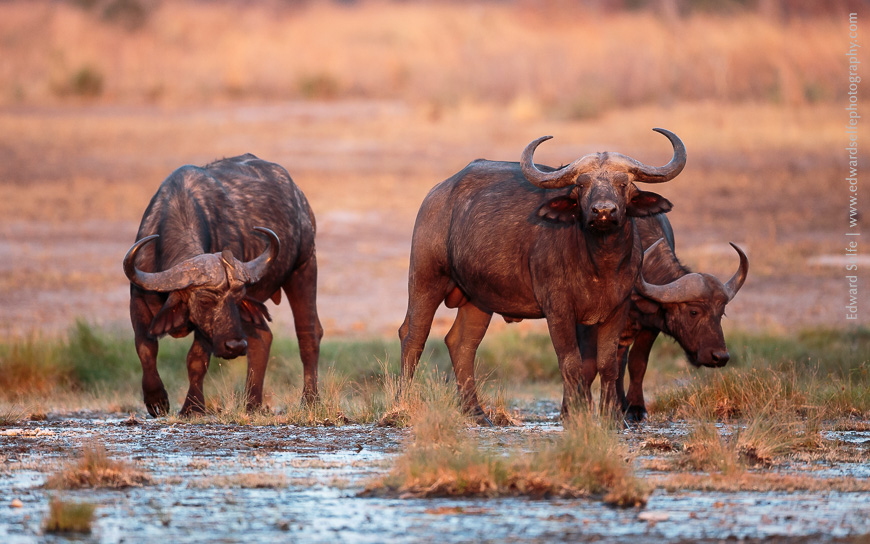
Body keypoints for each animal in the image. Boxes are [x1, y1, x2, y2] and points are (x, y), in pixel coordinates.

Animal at [123, 154, 322, 417]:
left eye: (237, 299)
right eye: (205, 300)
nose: (235, 346)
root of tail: (301, 202)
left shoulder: (208, 331)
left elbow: (196, 359)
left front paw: (192, 407)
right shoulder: (138, 300)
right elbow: (145, 348)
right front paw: (156, 400)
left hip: (304, 266)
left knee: (308, 334)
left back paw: (310, 401)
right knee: (262, 337)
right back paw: (251, 404)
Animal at [399, 129, 688, 421]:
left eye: (623, 184)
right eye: (582, 185)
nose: (603, 211)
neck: (600, 264)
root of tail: (437, 194)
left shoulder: (618, 309)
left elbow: (607, 364)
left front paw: (613, 418)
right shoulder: (558, 310)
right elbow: (571, 362)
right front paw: (572, 415)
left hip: (477, 300)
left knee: (462, 344)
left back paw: (477, 412)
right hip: (426, 278)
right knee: (413, 335)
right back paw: (402, 403)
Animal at [617, 215, 749, 421]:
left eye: (721, 313)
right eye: (693, 312)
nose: (720, 357)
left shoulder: (650, 328)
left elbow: (637, 362)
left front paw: (635, 408)